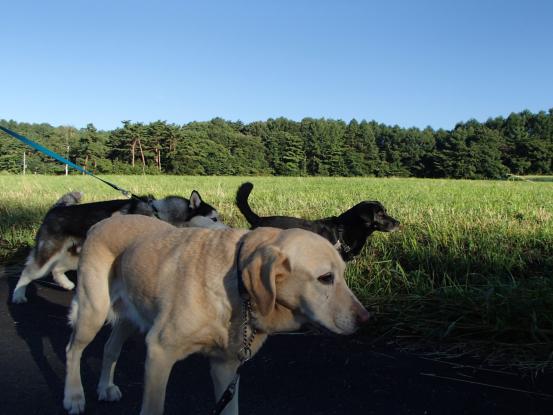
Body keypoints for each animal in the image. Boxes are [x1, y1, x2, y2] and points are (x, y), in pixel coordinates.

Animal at [10, 190, 218, 304]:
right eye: (214, 219)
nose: (226, 229)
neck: (159, 214)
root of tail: (57, 208)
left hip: (76, 255)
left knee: (57, 269)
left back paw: (67, 284)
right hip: (48, 254)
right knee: (28, 271)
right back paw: (18, 295)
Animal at [63, 214, 366, 415]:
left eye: (343, 274)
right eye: (326, 278)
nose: (366, 319)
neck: (238, 289)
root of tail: (104, 221)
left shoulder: (226, 366)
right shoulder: (159, 352)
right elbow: (154, 408)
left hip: (129, 316)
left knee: (110, 347)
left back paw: (105, 387)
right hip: (93, 311)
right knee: (72, 350)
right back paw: (74, 397)